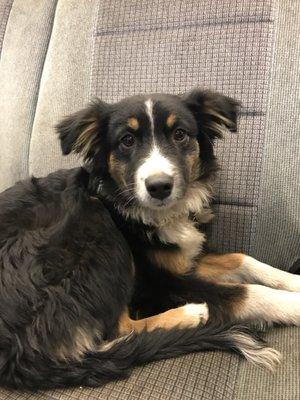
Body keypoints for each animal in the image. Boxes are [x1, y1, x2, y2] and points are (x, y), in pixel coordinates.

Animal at [0, 88, 298, 390]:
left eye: (179, 134)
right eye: (127, 140)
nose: (159, 186)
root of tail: (16, 361)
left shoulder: (182, 262)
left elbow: (242, 259)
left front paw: (293, 281)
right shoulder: (158, 283)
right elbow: (245, 292)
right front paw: (293, 304)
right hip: (95, 222)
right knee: (119, 329)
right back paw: (191, 314)